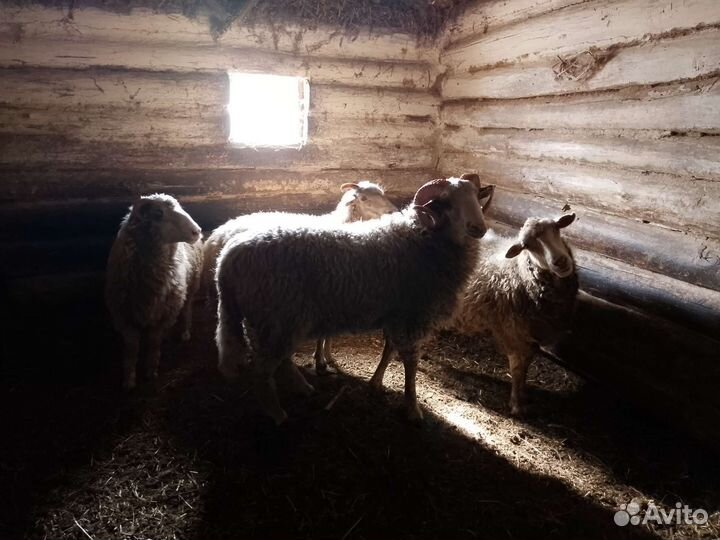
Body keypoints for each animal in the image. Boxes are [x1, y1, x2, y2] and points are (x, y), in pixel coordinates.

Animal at [105, 194, 203, 389]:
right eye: (158, 214)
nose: (196, 231)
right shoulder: (125, 315)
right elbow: (131, 348)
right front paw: (129, 380)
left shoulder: (163, 315)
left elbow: (154, 343)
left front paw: (151, 372)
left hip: (191, 286)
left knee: (187, 309)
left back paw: (185, 332)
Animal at [202, 181, 397, 376]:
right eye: (363, 198)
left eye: (382, 194)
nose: (392, 211)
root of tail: (216, 235)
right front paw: (320, 360)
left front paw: (328, 356)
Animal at [451, 213, 579, 415]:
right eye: (526, 245)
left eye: (557, 227)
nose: (560, 262)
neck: (518, 269)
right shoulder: (513, 331)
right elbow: (518, 368)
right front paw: (517, 405)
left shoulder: (532, 334)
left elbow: (526, 366)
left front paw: (523, 396)